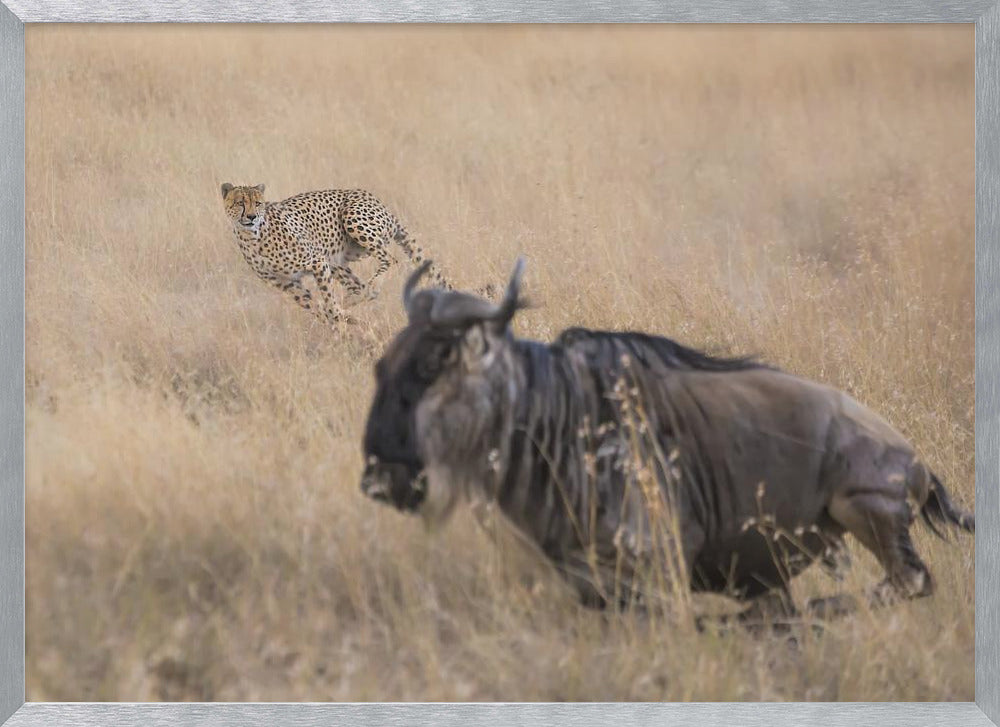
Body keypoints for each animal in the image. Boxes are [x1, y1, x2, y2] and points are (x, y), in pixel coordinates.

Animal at [220, 183, 489, 326]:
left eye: (258, 203)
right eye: (240, 202)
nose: (251, 216)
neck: (253, 237)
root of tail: (381, 204)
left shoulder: (317, 262)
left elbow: (328, 302)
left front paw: (339, 321)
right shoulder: (287, 283)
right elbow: (316, 306)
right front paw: (340, 322)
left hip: (353, 220)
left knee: (389, 260)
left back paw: (369, 288)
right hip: (337, 260)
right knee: (359, 287)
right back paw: (354, 301)